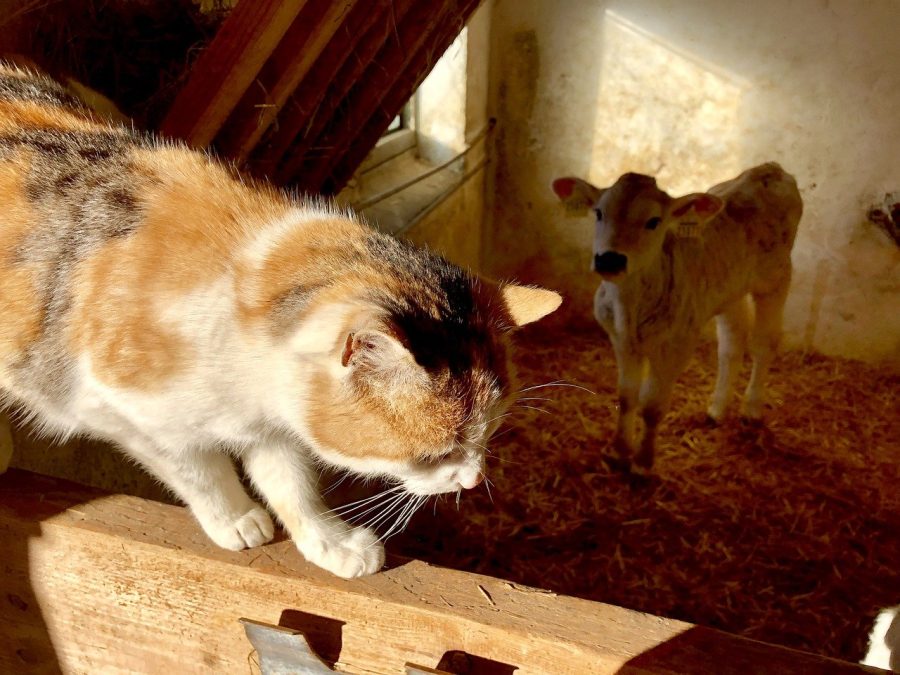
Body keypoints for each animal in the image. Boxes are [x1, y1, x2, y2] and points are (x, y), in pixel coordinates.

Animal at [0, 66, 560, 580]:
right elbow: (198, 469)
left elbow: (289, 480)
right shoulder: (121, 411)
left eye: (490, 434)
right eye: (433, 454)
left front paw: (330, 543)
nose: (471, 481)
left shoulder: (271, 426)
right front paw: (236, 519)